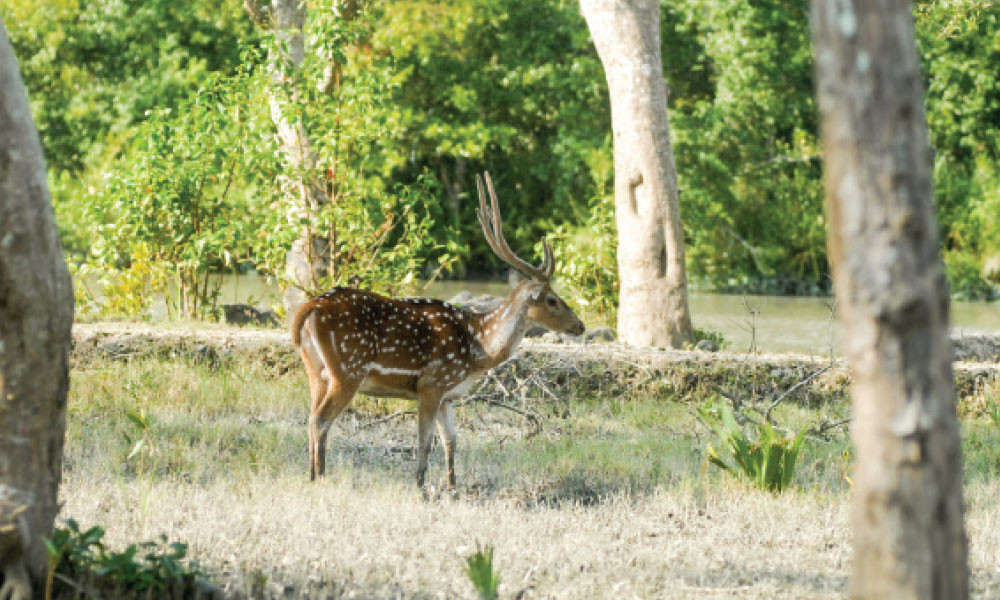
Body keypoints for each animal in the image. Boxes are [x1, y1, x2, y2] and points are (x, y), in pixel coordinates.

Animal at [290, 171, 584, 490]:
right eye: (553, 300)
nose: (580, 326)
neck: (477, 350)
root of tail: (309, 309)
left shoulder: (448, 395)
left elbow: (451, 441)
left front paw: (452, 486)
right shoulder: (432, 382)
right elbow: (425, 441)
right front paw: (420, 486)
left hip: (316, 371)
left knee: (311, 417)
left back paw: (311, 476)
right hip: (348, 369)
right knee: (321, 420)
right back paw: (320, 478)